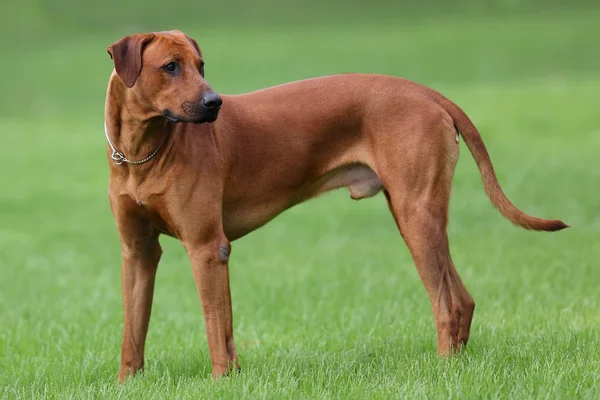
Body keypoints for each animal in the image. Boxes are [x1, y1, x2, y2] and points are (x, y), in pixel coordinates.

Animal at [103, 30, 568, 382]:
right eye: (170, 67)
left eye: (201, 66)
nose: (213, 103)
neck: (144, 154)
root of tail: (427, 92)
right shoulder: (137, 252)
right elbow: (132, 328)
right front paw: (128, 383)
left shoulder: (206, 248)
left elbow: (218, 328)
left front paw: (222, 381)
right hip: (416, 216)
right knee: (464, 299)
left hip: (416, 215)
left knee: (447, 303)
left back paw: (442, 369)